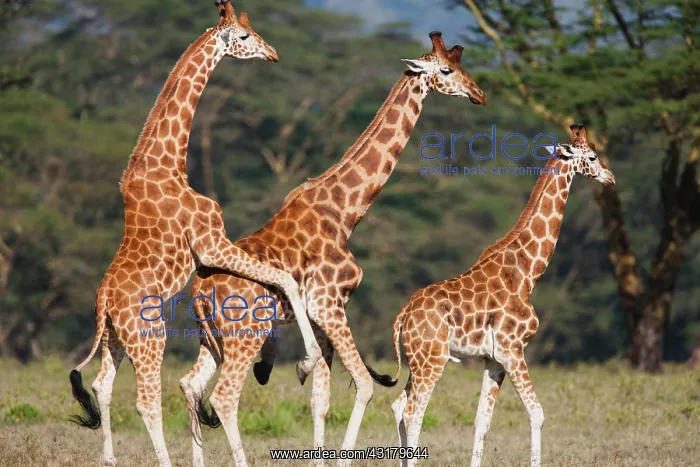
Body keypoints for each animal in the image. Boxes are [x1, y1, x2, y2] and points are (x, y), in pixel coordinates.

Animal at [67, 2, 324, 466]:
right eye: (243, 36)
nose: (273, 53)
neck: (169, 165)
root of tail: (104, 305)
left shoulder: (212, 249)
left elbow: (279, 279)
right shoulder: (210, 243)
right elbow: (284, 278)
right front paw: (302, 361)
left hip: (114, 338)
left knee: (101, 385)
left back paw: (109, 458)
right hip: (149, 337)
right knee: (145, 401)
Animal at [178, 32, 487, 467]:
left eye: (463, 67)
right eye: (446, 70)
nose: (479, 94)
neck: (344, 212)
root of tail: (200, 290)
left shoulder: (322, 315)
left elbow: (319, 399)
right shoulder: (329, 304)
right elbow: (364, 385)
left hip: (211, 339)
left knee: (191, 385)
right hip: (245, 336)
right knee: (223, 399)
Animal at [367, 125, 616, 467]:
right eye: (591, 156)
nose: (610, 177)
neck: (527, 272)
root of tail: (403, 315)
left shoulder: (493, 359)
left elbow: (482, 421)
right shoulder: (513, 349)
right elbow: (537, 414)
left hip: (419, 361)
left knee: (398, 407)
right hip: (432, 359)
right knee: (412, 412)